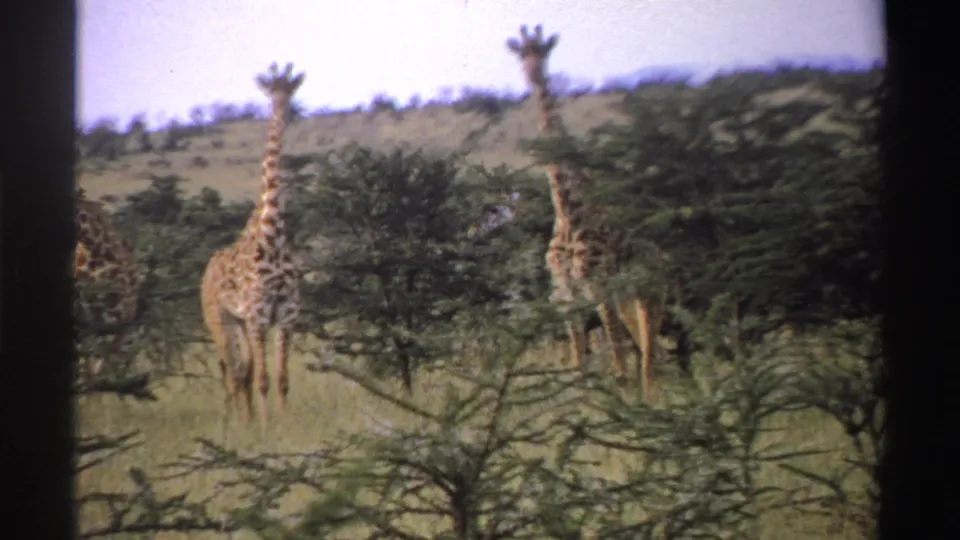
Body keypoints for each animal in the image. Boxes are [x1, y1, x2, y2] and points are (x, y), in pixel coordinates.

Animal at [200, 62, 304, 423]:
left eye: (292, 88)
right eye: (271, 90)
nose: (284, 109)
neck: (273, 236)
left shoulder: (286, 315)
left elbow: (282, 379)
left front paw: (285, 422)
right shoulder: (258, 315)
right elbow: (262, 378)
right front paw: (267, 425)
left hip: (242, 324)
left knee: (241, 372)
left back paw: (245, 418)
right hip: (221, 320)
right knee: (232, 373)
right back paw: (238, 422)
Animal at [506, 24, 667, 401]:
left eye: (545, 51)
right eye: (521, 55)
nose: (534, 74)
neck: (568, 209)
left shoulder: (597, 283)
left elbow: (617, 355)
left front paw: (621, 397)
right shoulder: (567, 296)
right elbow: (580, 361)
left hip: (648, 289)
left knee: (650, 345)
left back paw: (654, 395)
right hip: (626, 295)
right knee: (646, 345)